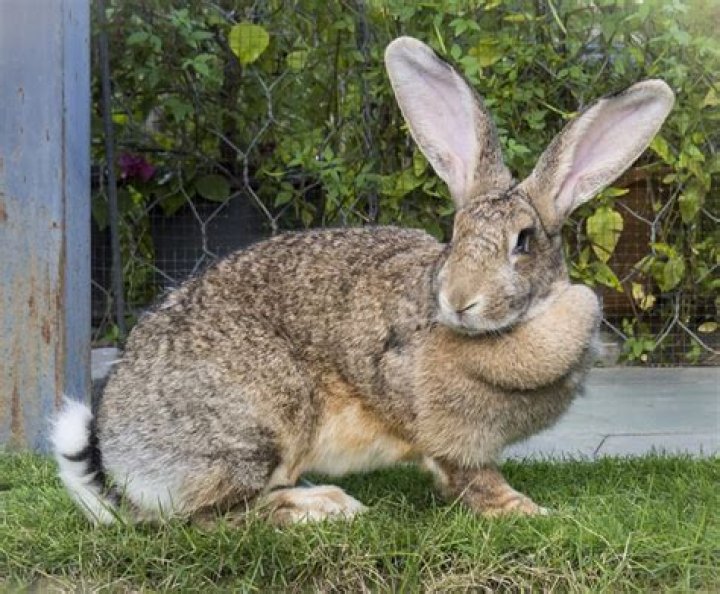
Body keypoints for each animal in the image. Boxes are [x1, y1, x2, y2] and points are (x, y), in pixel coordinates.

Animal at [52, 36, 674, 525]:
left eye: (523, 241)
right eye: (455, 233)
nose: (458, 301)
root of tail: (118, 456)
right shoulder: (447, 434)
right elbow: (471, 478)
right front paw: (526, 510)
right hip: (259, 421)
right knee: (208, 518)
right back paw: (322, 507)